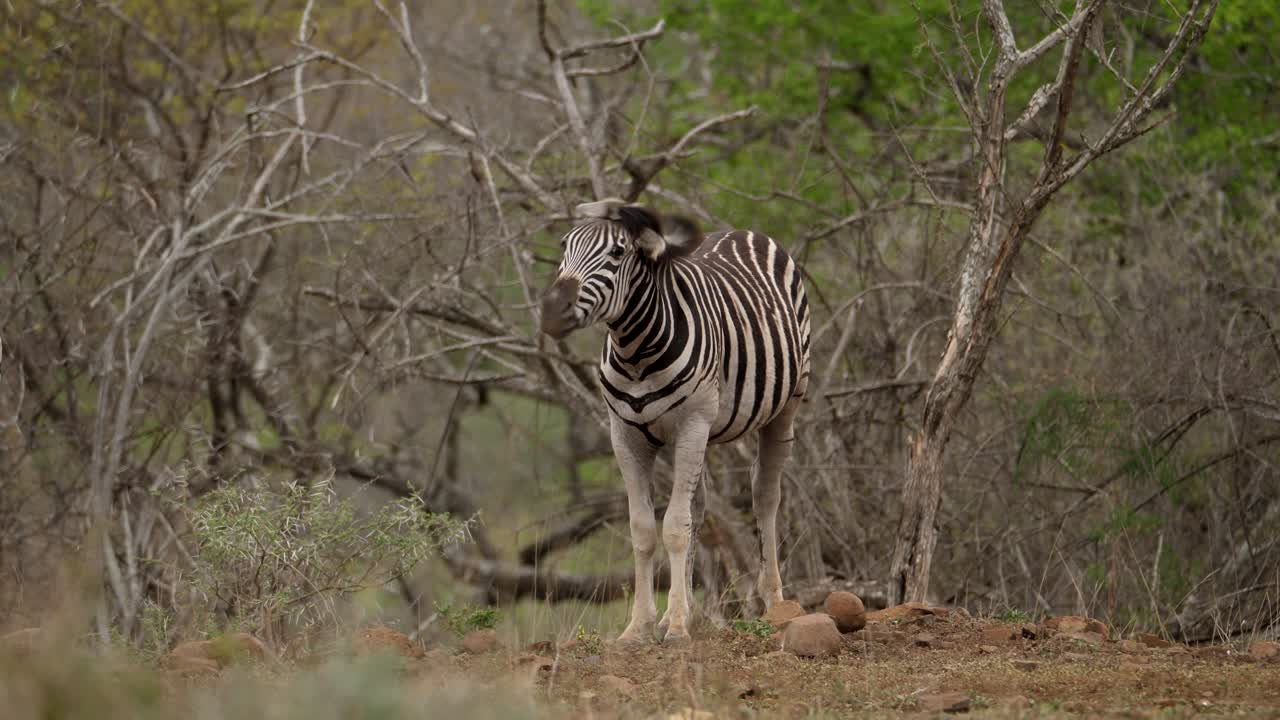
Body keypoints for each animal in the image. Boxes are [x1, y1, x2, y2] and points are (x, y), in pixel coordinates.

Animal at [540, 198, 812, 645]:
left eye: (617, 253)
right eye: (565, 245)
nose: (551, 311)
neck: (636, 353)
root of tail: (740, 231)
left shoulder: (690, 426)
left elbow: (674, 526)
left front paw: (680, 628)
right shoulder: (625, 436)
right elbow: (645, 529)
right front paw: (642, 626)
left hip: (784, 405)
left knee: (765, 496)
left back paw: (773, 601)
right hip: (706, 432)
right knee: (701, 510)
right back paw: (674, 614)